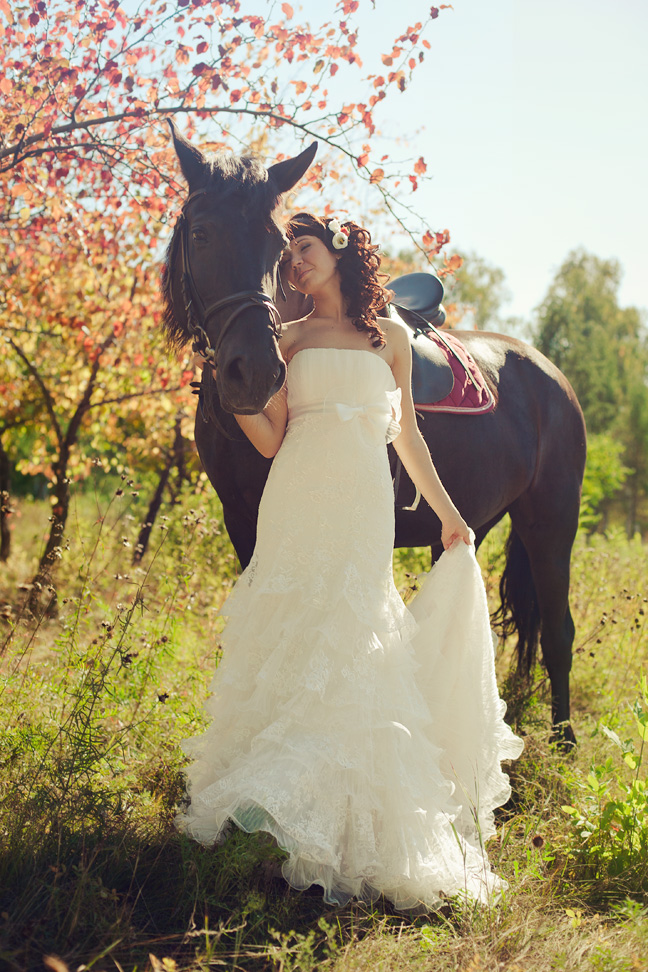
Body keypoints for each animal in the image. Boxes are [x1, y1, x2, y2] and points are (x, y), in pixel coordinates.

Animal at [163, 123, 588, 744]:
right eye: (201, 233)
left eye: (278, 247)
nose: (256, 372)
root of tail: (550, 373)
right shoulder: (242, 520)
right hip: (466, 524)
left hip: (551, 520)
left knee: (558, 630)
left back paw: (562, 740)